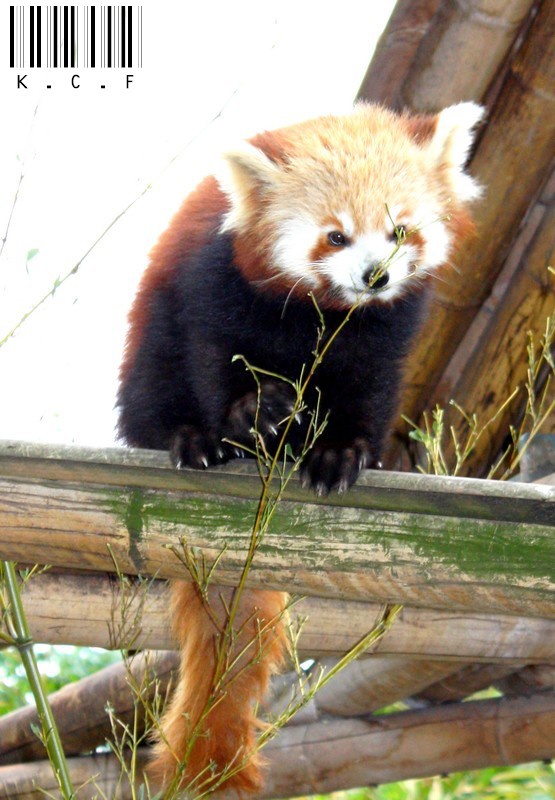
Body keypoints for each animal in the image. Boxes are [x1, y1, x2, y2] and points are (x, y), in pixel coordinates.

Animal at [118, 103, 486, 796]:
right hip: (148, 340)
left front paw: (343, 452)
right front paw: (241, 419)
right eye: (335, 237)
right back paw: (188, 438)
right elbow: (213, 359)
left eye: (399, 230)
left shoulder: (387, 329)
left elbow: (369, 386)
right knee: (156, 381)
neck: (325, 311)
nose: (375, 275)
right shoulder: (214, 283)